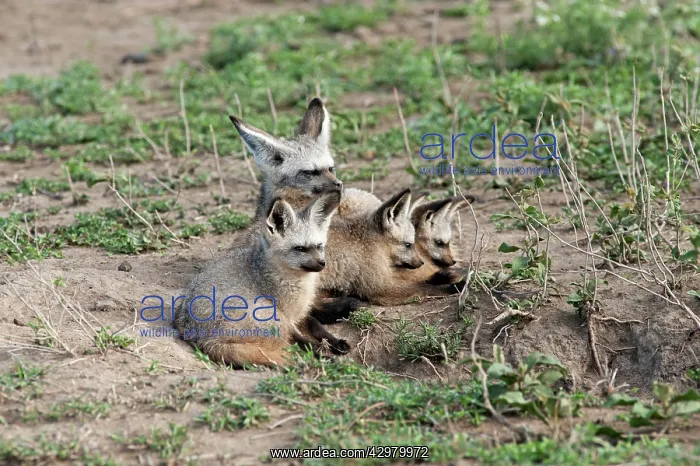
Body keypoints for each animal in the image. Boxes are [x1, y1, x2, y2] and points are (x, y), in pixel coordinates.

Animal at [174, 191, 348, 368]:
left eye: (319, 246)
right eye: (300, 249)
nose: (322, 264)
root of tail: (203, 338)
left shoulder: (299, 314)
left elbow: (315, 325)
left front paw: (335, 342)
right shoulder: (287, 317)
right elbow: (304, 340)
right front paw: (322, 351)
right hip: (273, 315)